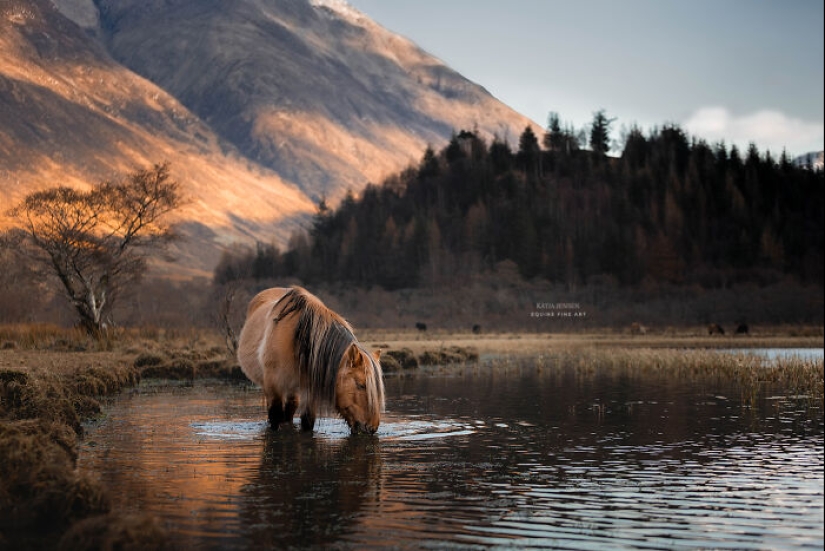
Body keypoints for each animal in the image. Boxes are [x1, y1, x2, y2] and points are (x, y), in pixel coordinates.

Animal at [237, 286, 385, 434]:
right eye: (361, 385)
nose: (371, 428)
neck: (297, 339)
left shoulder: (309, 393)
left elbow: (307, 422)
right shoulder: (274, 388)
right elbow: (275, 419)